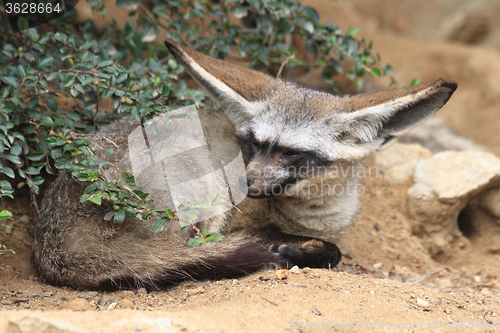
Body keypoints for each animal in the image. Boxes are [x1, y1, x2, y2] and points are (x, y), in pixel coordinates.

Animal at [32, 38, 458, 288]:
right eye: (253, 144)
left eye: (291, 153)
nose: (245, 184)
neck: (314, 216)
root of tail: (55, 245)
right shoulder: (237, 220)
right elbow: (314, 247)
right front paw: (299, 250)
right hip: (202, 189)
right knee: (190, 254)